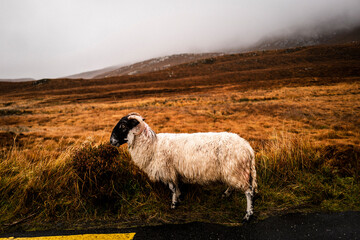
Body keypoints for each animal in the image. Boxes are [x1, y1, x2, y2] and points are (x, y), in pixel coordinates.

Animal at [109, 112, 256, 221]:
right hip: (232, 170)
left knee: (248, 192)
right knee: (234, 185)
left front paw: (174, 204)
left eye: (123, 126)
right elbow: (177, 186)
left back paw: (248, 215)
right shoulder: (174, 171)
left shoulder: (167, 171)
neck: (152, 145)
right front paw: (179, 197)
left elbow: (172, 188)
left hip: (236, 170)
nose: (111, 141)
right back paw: (226, 194)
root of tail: (247, 147)